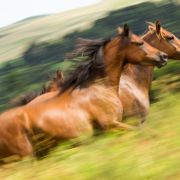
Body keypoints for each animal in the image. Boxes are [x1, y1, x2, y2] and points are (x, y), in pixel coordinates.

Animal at [0, 24, 167, 160]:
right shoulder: (112, 125)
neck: (101, 88)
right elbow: (146, 133)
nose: (163, 56)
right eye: (139, 43)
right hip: (25, 158)